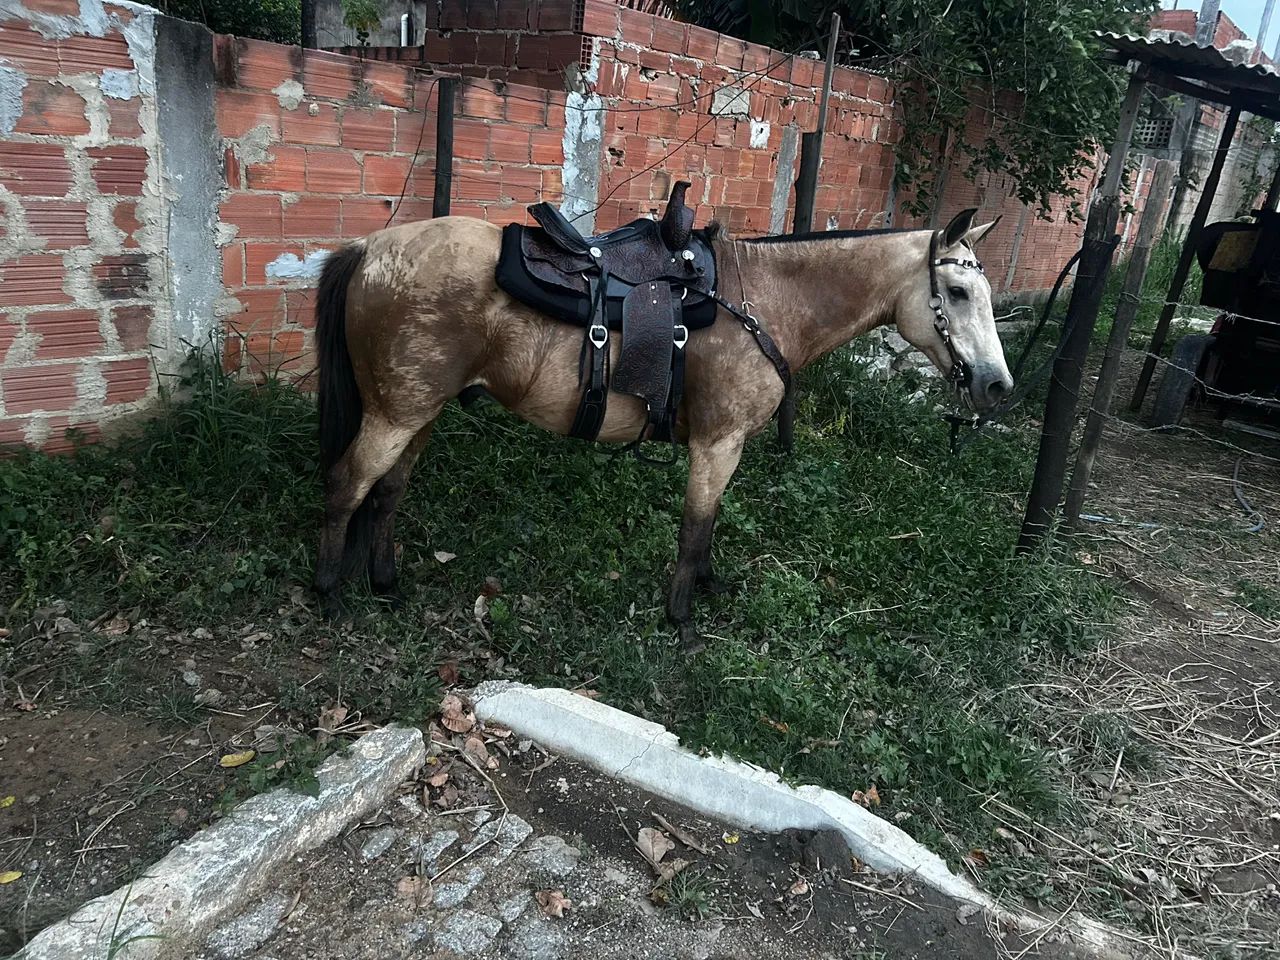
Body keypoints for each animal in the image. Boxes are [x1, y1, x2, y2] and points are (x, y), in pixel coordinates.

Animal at [311, 207, 1011, 652]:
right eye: (956, 292)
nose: (997, 386)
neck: (766, 298)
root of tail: (368, 251)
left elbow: (710, 524)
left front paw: (706, 586)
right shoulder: (717, 443)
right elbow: (696, 525)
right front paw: (682, 622)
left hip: (418, 413)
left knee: (387, 492)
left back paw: (385, 586)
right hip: (397, 413)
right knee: (346, 485)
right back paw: (329, 596)